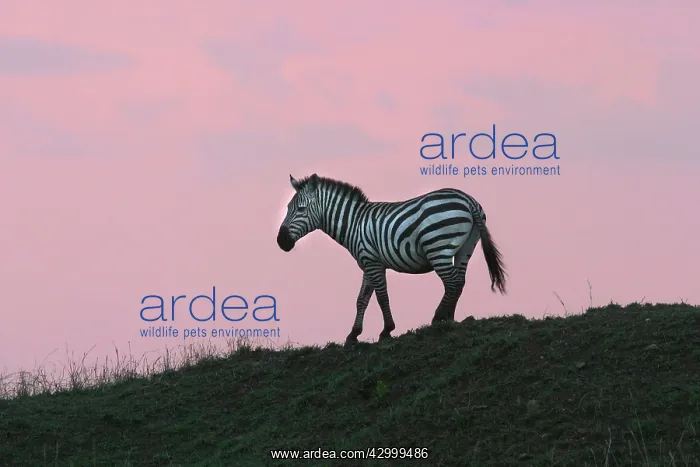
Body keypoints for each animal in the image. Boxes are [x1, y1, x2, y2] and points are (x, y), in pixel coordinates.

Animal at [276, 173, 507, 345]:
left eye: (301, 209)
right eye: (287, 208)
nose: (281, 241)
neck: (354, 223)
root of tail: (468, 200)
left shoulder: (372, 262)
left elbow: (381, 297)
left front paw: (386, 331)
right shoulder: (368, 263)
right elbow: (362, 299)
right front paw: (353, 335)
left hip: (437, 246)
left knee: (452, 282)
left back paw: (437, 319)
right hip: (465, 248)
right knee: (459, 282)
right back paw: (448, 320)